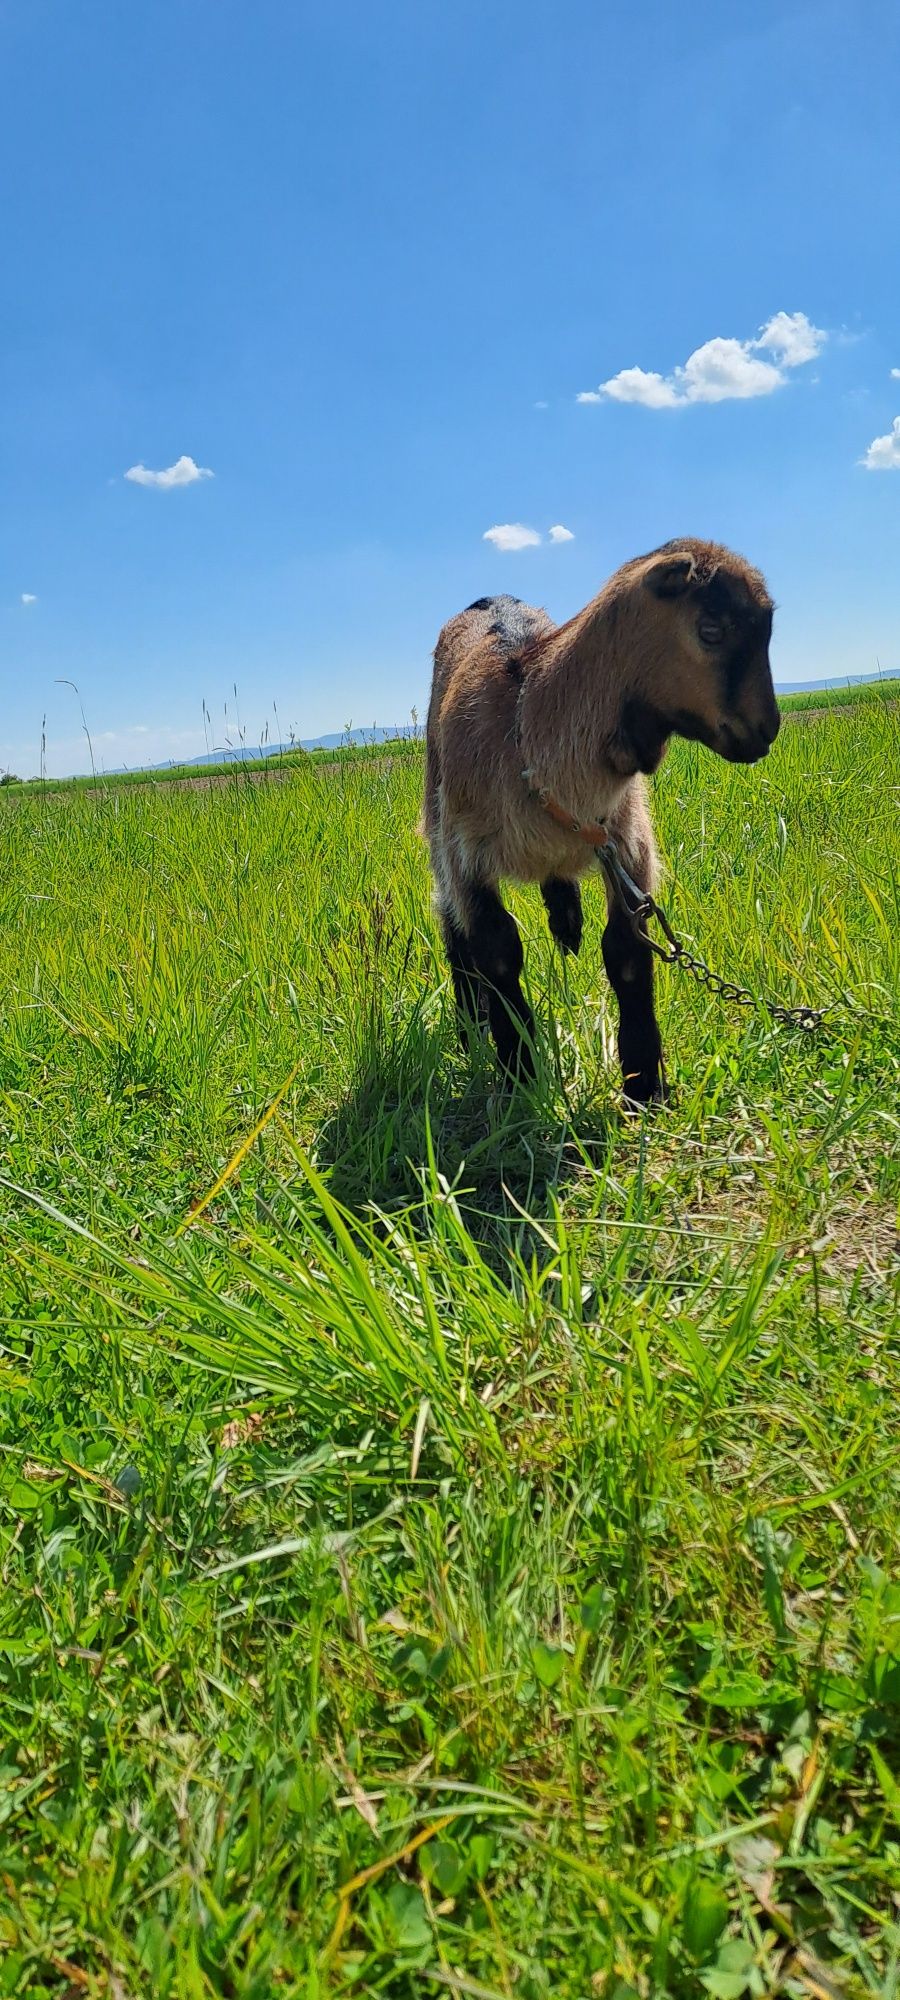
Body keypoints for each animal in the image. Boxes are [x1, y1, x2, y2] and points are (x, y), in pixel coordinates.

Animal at [426, 540, 776, 1104]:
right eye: (711, 630)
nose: (766, 730)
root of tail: (489, 597)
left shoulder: (625, 841)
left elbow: (627, 952)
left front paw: (645, 1086)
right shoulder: (466, 856)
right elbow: (495, 953)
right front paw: (519, 1073)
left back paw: (566, 923)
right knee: (453, 930)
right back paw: (469, 1027)